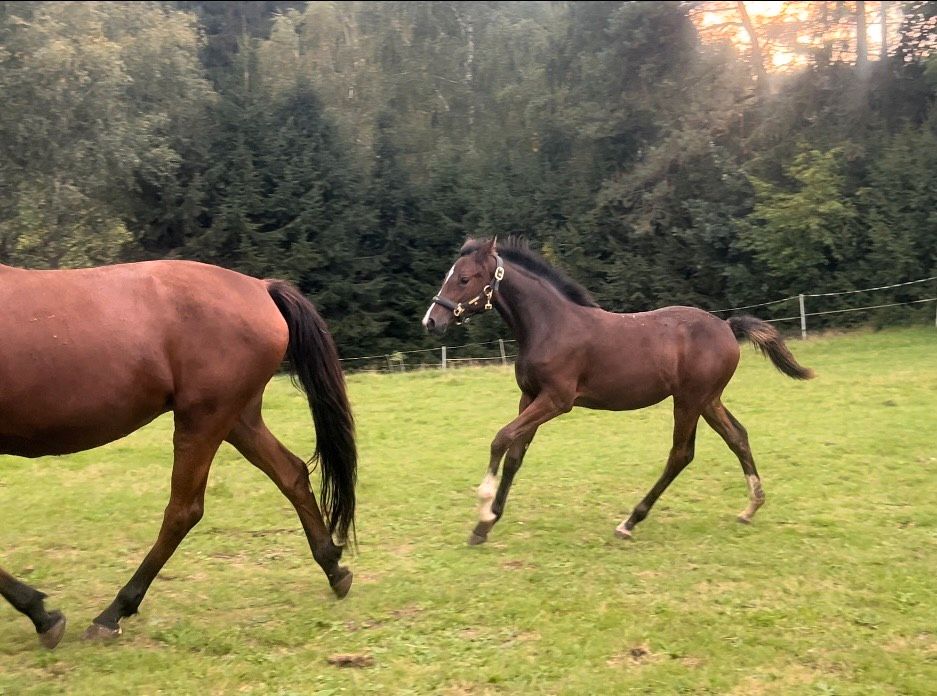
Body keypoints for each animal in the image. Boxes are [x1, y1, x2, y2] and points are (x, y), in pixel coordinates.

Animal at [0, 260, 356, 648]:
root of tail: (259, 287)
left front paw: (41, 615)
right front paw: (40, 613)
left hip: (203, 421)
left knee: (183, 512)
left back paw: (114, 612)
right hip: (238, 421)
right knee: (292, 474)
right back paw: (334, 568)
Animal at [418, 239, 812, 548]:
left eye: (464, 278)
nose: (431, 321)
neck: (550, 325)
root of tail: (728, 326)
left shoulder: (557, 400)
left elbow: (500, 438)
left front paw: (484, 504)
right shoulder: (528, 396)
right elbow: (515, 453)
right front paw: (484, 525)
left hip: (689, 400)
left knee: (681, 454)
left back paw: (629, 522)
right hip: (708, 400)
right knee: (738, 437)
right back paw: (750, 507)